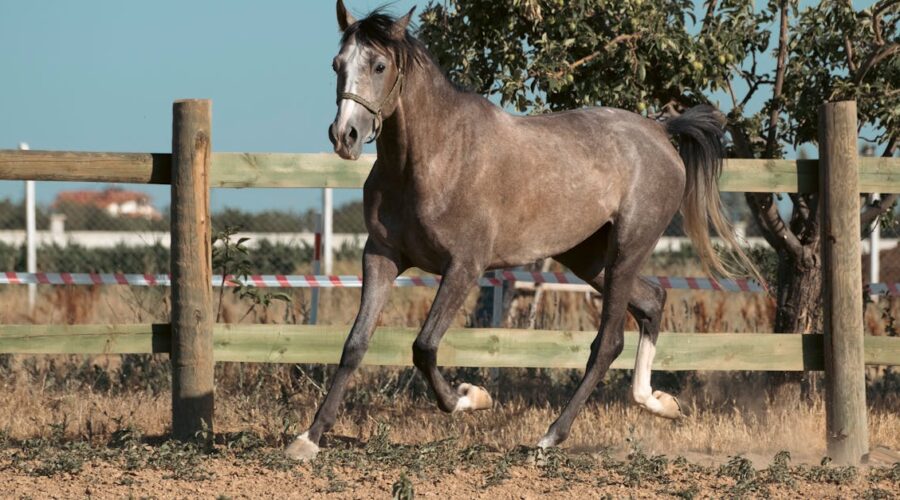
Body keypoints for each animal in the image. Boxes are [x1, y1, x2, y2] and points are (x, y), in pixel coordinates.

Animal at [286, 1, 759, 460]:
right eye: (337, 64)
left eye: (380, 65)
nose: (345, 135)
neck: (434, 157)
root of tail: (660, 132)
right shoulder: (382, 256)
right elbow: (355, 344)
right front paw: (309, 438)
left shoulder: (464, 266)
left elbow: (424, 346)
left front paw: (470, 397)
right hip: (588, 257)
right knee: (653, 301)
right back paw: (659, 403)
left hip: (627, 248)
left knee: (608, 341)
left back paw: (550, 437)